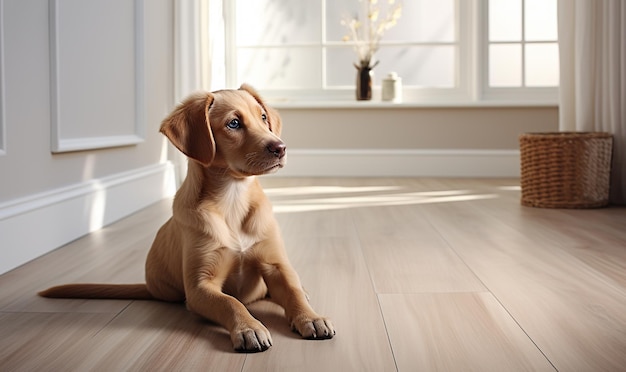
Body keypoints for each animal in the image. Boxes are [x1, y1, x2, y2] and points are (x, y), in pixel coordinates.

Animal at [39, 84, 334, 352]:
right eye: (234, 123)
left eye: (263, 117)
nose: (281, 148)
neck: (233, 198)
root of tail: (149, 288)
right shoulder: (199, 285)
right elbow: (230, 302)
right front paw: (249, 327)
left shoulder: (274, 264)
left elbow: (291, 290)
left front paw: (311, 317)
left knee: (289, 286)